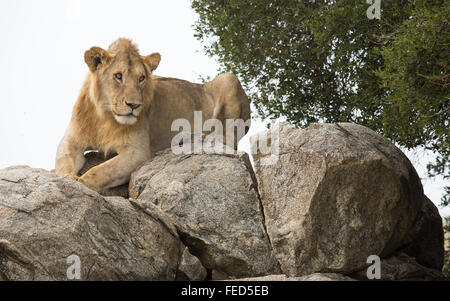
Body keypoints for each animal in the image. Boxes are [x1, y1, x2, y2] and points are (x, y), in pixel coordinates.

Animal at [55, 38, 250, 191]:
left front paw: (81, 183)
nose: (134, 105)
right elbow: (63, 163)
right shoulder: (71, 140)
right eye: (118, 76)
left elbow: (100, 171)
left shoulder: (138, 152)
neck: (105, 117)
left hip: (229, 78)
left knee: (231, 139)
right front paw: (68, 179)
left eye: (141, 79)